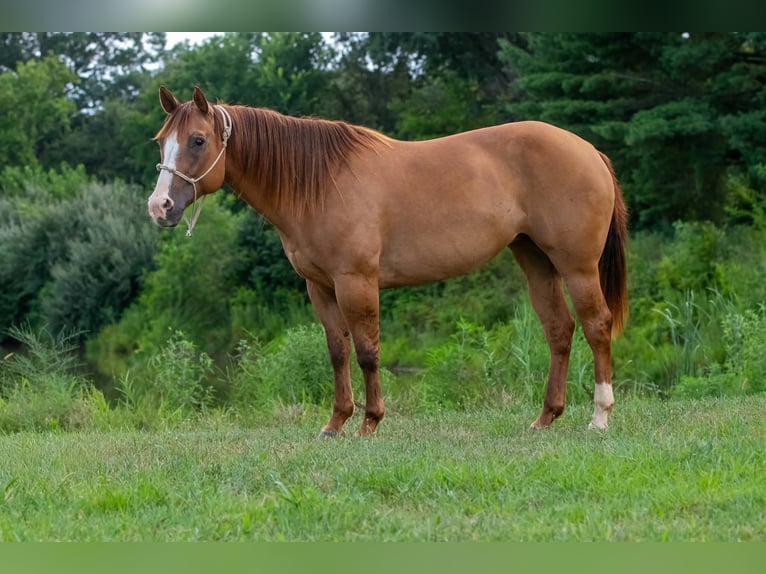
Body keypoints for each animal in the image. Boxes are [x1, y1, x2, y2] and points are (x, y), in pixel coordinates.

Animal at [147, 85, 628, 436]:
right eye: (160, 142)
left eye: (197, 140)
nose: (159, 207)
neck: (319, 183)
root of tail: (590, 151)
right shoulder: (320, 287)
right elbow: (337, 351)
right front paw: (335, 424)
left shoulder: (356, 281)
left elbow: (367, 352)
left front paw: (369, 423)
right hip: (536, 260)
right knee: (559, 330)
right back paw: (545, 418)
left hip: (577, 266)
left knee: (596, 325)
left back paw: (600, 416)